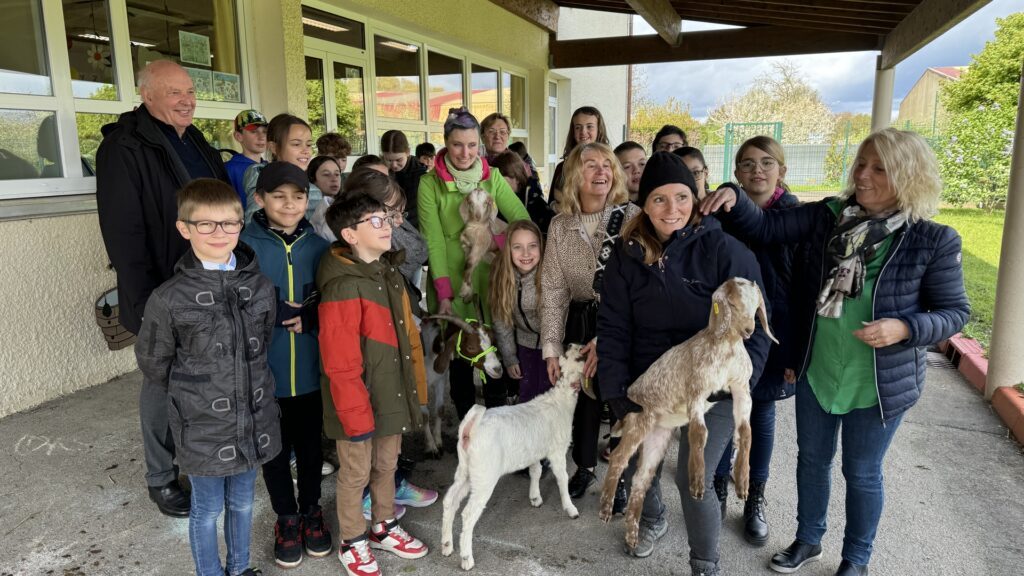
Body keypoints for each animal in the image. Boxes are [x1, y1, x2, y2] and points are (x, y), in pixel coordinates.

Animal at [440, 340, 585, 569]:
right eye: (579, 356)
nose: (572, 342)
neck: (560, 400)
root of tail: (469, 428)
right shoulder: (557, 449)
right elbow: (562, 478)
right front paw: (570, 508)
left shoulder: (534, 450)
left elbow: (536, 470)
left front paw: (535, 497)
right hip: (484, 474)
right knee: (468, 513)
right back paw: (466, 558)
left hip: (466, 469)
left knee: (450, 501)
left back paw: (446, 545)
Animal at [593, 276, 774, 549]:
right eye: (732, 303)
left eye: (756, 307)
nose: (749, 330)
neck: (726, 348)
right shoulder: (697, 390)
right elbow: (699, 432)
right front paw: (697, 481)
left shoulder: (741, 389)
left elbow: (746, 432)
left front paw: (743, 482)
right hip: (639, 422)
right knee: (618, 459)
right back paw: (605, 510)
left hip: (657, 438)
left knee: (641, 480)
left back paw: (633, 535)